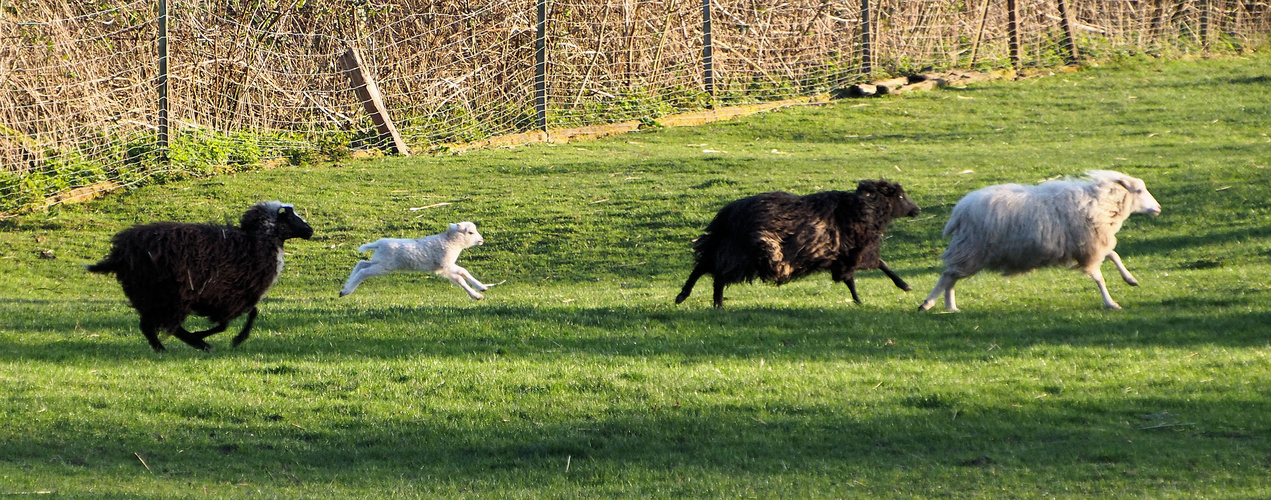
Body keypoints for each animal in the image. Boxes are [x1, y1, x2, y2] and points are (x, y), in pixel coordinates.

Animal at [340, 220, 493, 297]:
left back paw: (345, 288)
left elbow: (460, 278)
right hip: (384, 266)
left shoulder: (442, 269)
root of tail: (378, 243)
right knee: (363, 271)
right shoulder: (446, 264)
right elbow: (463, 272)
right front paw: (480, 290)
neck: (451, 242)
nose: (481, 240)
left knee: (361, 264)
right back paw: (347, 290)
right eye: (471, 232)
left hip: (379, 261)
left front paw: (479, 291)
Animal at [676, 176, 925, 305]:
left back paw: (697, 299)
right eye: (900, 196)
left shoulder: (844, 257)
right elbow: (869, 270)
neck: (867, 210)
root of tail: (728, 214)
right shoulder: (853, 254)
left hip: (725, 247)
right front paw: (898, 287)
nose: (918, 210)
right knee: (712, 272)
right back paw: (700, 300)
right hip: (744, 253)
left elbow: (864, 272)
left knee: (708, 269)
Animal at [915, 171, 1164, 311]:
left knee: (951, 277)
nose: (1158, 208)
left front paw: (1130, 279)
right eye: (1139, 190)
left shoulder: (1091, 244)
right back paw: (929, 303)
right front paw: (1111, 303)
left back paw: (950, 306)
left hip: (970, 251)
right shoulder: (1089, 248)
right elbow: (1099, 278)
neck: (1100, 203)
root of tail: (959, 211)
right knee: (947, 275)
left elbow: (1114, 255)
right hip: (972, 250)